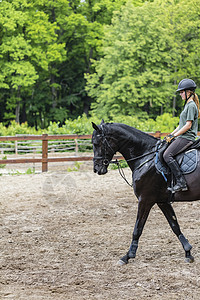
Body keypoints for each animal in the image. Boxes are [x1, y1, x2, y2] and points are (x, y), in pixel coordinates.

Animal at [92, 119, 200, 264]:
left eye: (96, 144)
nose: (97, 169)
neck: (144, 157)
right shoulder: (162, 202)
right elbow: (174, 225)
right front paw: (188, 252)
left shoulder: (145, 200)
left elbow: (138, 228)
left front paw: (128, 256)